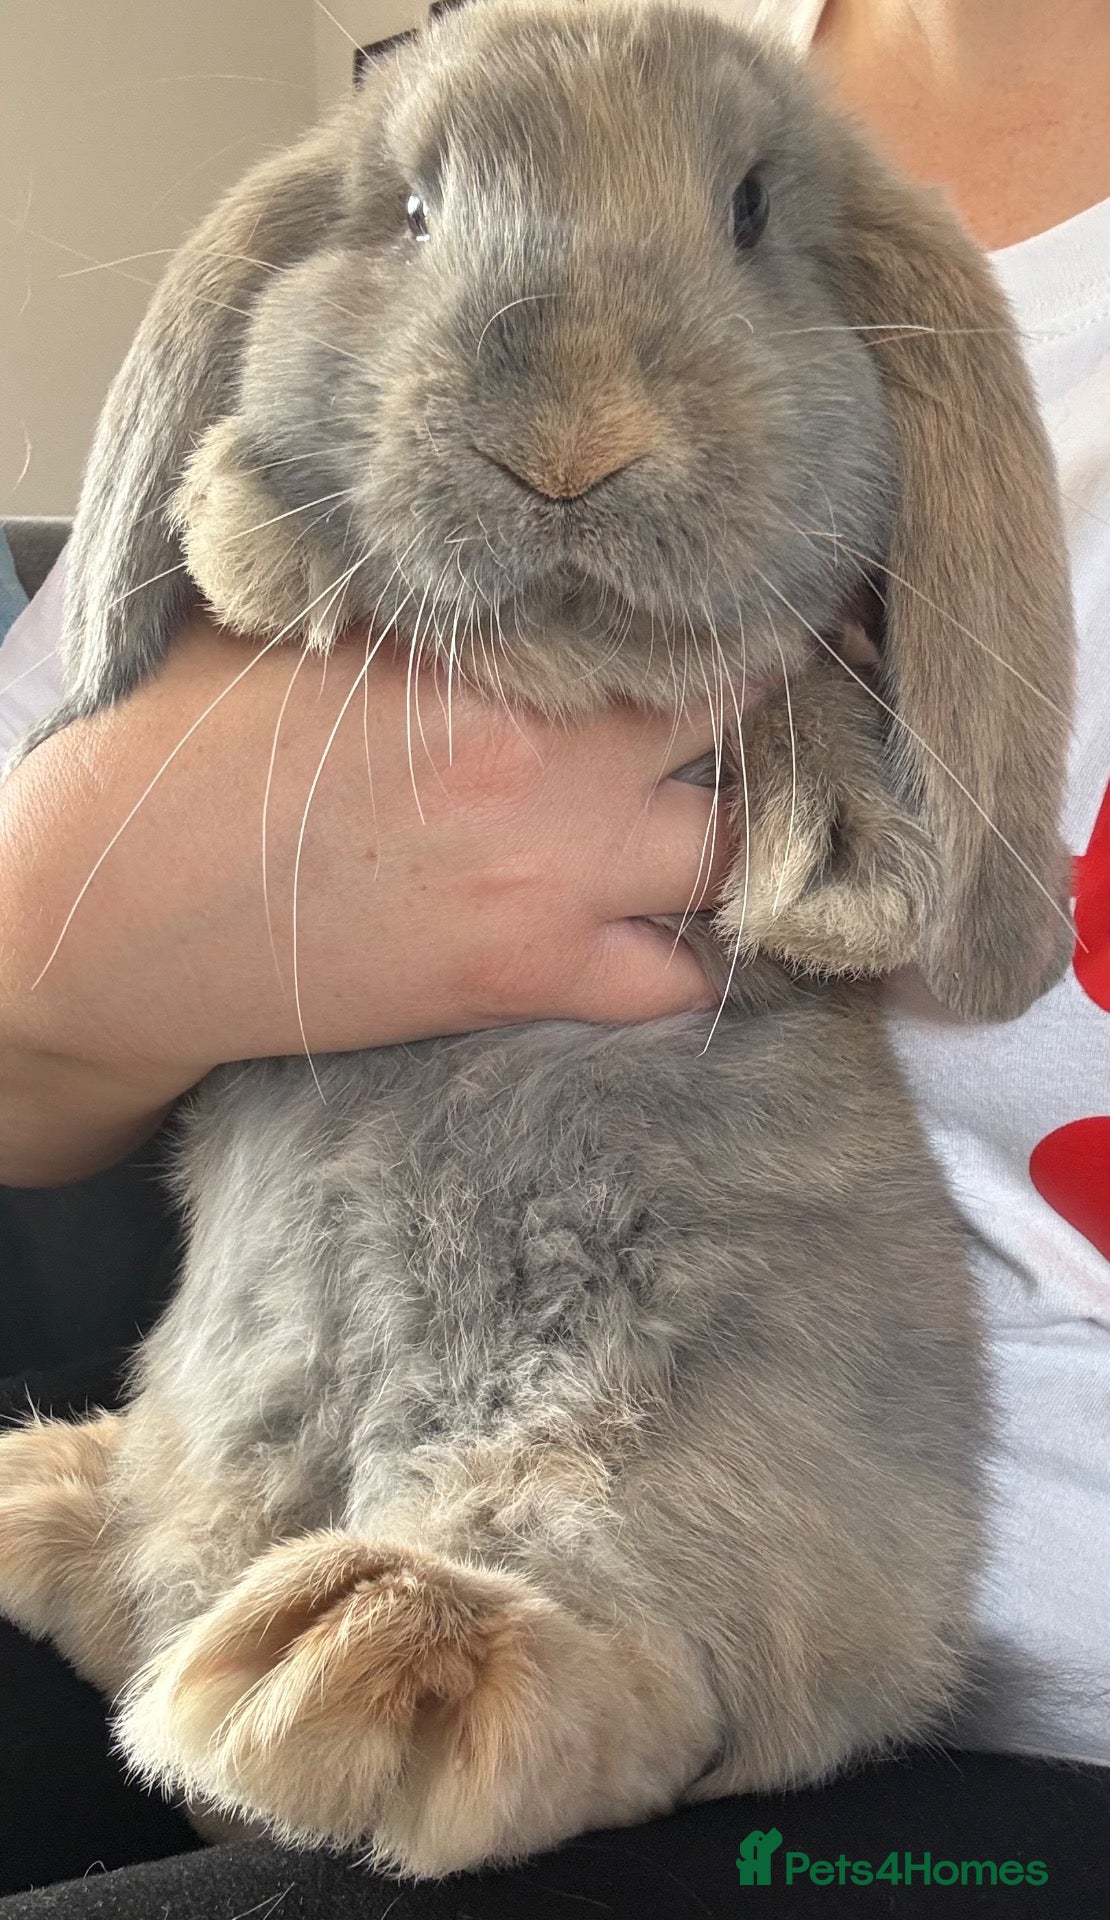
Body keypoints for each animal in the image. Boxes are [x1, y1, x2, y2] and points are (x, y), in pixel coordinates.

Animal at [0, 0, 1076, 1880]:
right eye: (412, 212)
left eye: (750, 211)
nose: (569, 441)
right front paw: (249, 529)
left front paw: (833, 863)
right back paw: (54, 1501)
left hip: (676, 1439)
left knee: (623, 1615)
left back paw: (367, 1661)